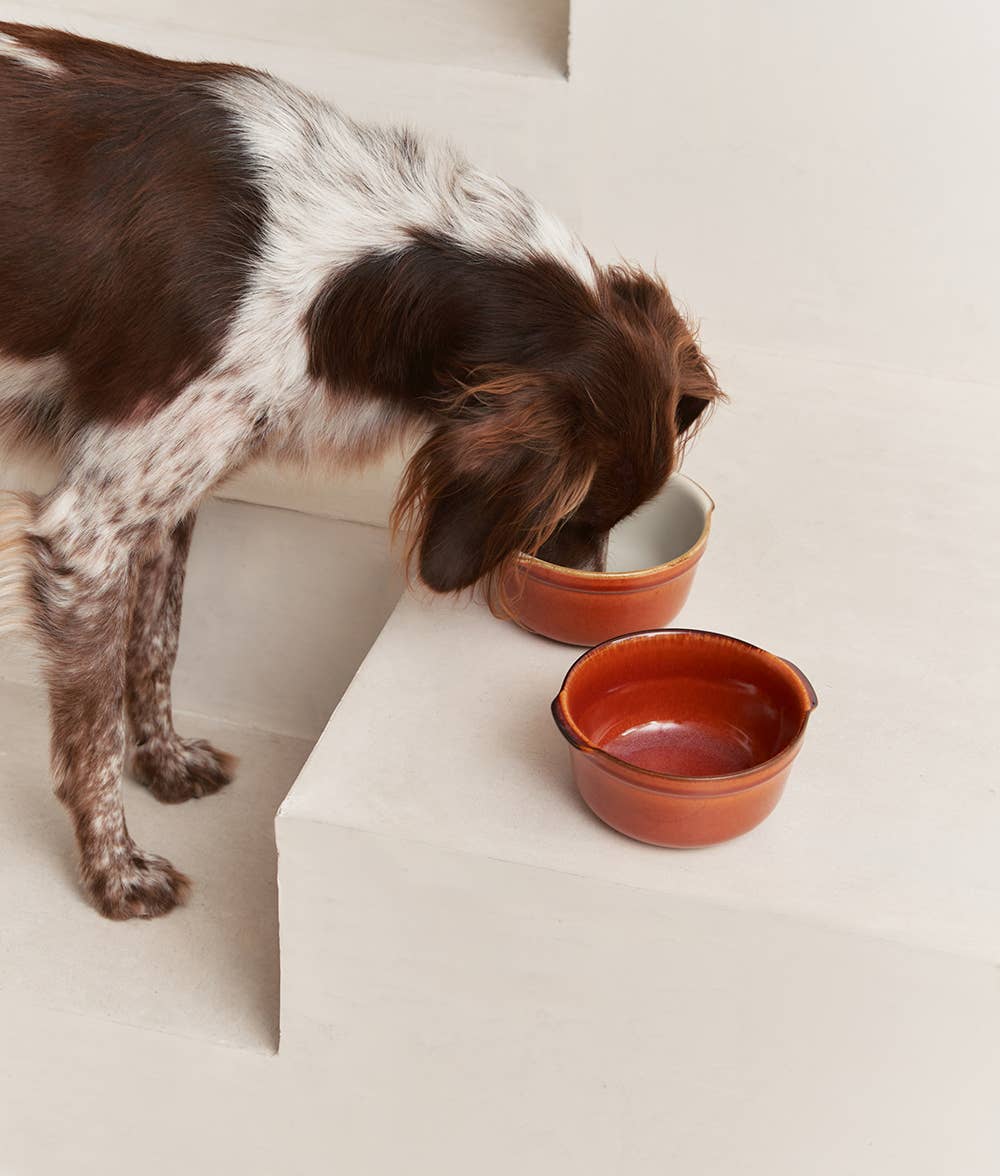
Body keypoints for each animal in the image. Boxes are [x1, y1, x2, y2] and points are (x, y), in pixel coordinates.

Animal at [0, 20, 720, 917]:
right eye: (571, 519)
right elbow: (91, 733)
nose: (595, 623)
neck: (335, 263)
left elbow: (156, 644)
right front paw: (117, 873)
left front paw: (166, 764)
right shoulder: (86, 528)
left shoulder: (167, 492)